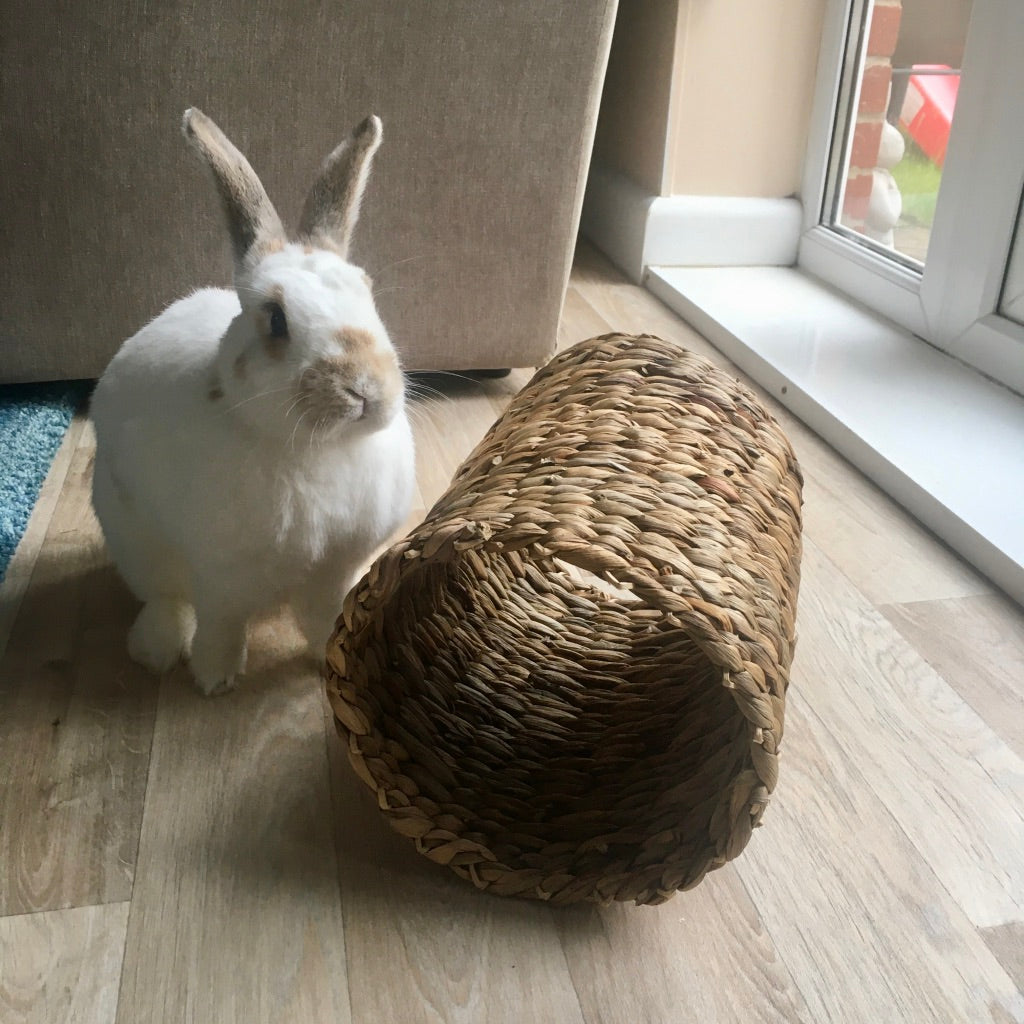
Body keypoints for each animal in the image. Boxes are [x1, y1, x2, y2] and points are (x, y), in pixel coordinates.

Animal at [91, 108, 415, 692]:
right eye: (276, 319)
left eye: (368, 294)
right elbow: (222, 624)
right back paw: (154, 650)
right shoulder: (221, 576)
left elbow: (324, 615)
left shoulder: (335, 570)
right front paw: (214, 680)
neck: (315, 449)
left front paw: (330, 658)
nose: (364, 388)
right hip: (132, 541)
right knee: (167, 599)